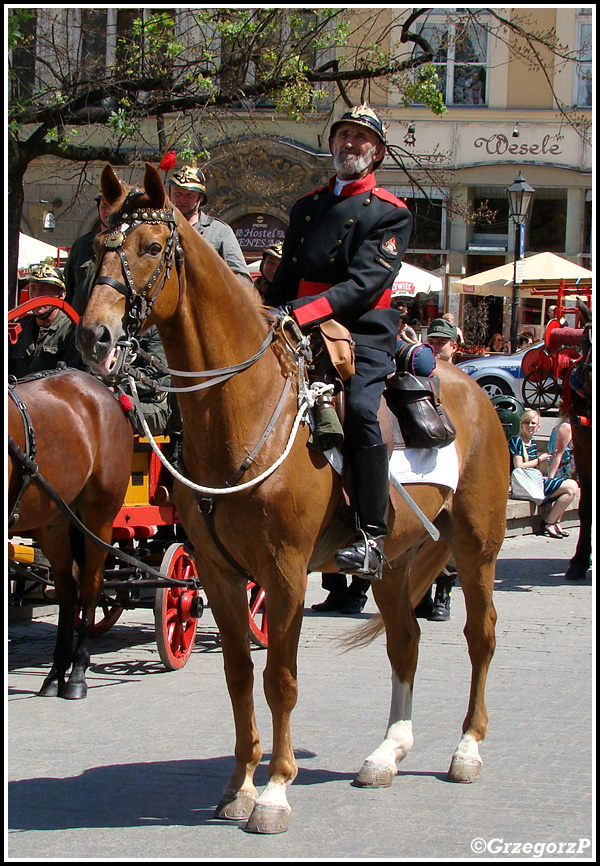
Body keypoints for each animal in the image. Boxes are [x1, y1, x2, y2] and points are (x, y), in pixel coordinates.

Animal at [8, 368, 132, 700]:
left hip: (99, 514)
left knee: (90, 585)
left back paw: (77, 672)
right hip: (54, 518)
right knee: (67, 587)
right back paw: (55, 673)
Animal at [74, 162, 506, 832]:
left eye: (149, 247)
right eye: (97, 246)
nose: (95, 336)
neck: (241, 409)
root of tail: (477, 389)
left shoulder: (283, 574)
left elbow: (280, 677)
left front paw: (274, 791)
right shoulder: (219, 573)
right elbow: (238, 675)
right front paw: (239, 785)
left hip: (477, 546)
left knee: (479, 636)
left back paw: (467, 749)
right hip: (393, 560)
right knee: (404, 640)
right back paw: (386, 753)